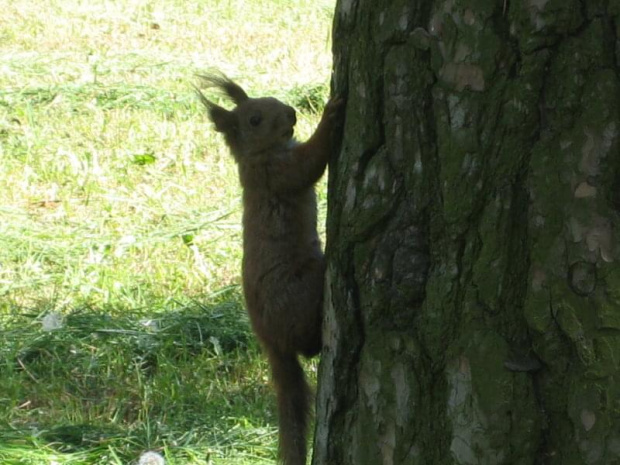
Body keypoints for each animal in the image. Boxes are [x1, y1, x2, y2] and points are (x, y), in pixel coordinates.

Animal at [196, 73, 344, 464]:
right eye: (254, 120)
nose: (291, 112)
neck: (258, 155)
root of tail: (267, 337)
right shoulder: (275, 174)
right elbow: (310, 162)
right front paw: (331, 113)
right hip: (302, 291)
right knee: (307, 344)